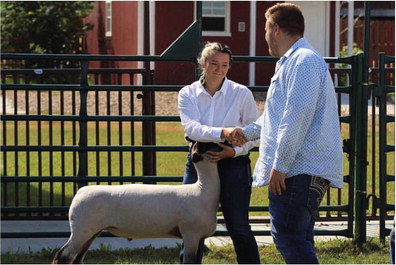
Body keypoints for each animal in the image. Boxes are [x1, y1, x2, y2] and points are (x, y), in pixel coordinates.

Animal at [51, 140, 223, 262]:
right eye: (207, 144)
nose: (224, 144)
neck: (202, 191)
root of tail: (80, 192)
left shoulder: (199, 237)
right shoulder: (190, 234)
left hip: (91, 231)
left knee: (77, 258)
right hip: (82, 230)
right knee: (63, 256)